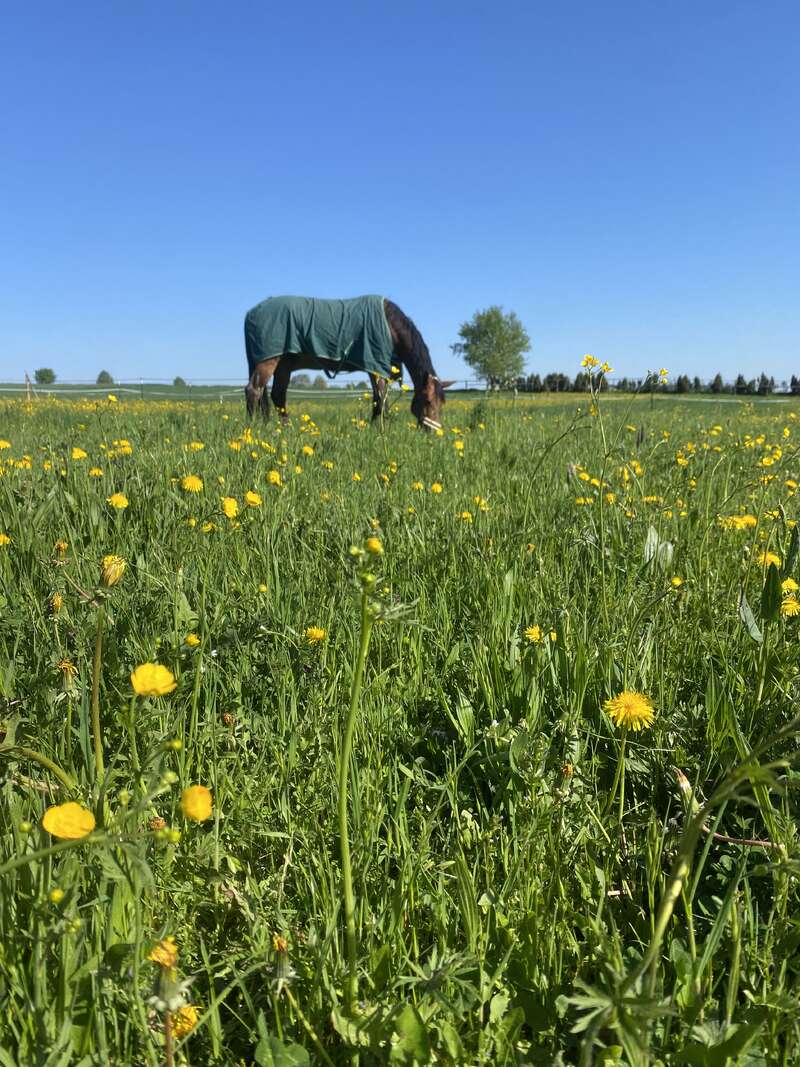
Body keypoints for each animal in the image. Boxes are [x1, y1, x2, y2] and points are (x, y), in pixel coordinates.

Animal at [243, 295, 449, 430]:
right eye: (428, 401)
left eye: (442, 403)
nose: (434, 431)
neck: (388, 325)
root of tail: (251, 313)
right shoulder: (374, 367)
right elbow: (380, 398)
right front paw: (377, 428)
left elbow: (380, 397)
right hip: (269, 361)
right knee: (253, 390)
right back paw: (253, 428)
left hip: (284, 365)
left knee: (277, 395)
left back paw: (284, 428)